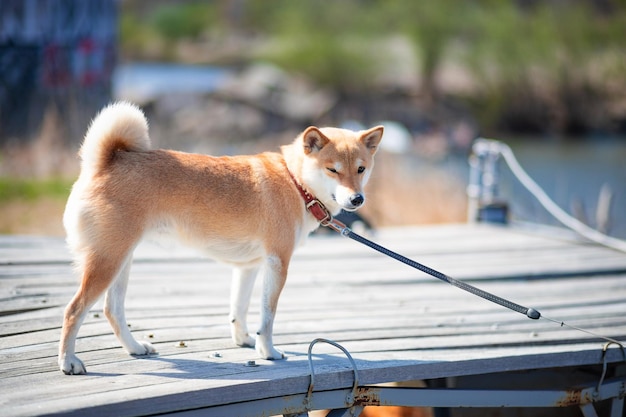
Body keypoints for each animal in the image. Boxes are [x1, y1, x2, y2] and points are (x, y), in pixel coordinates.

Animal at [59, 101, 380, 374]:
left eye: (361, 169)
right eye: (333, 170)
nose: (357, 199)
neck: (295, 183)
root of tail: (106, 162)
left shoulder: (249, 266)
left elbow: (239, 308)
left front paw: (244, 340)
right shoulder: (278, 263)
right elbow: (268, 316)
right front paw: (268, 351)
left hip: (121, 260)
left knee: (112, 310)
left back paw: (135, 347)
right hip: (108, 261)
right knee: (74, 310)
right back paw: (69, 361)